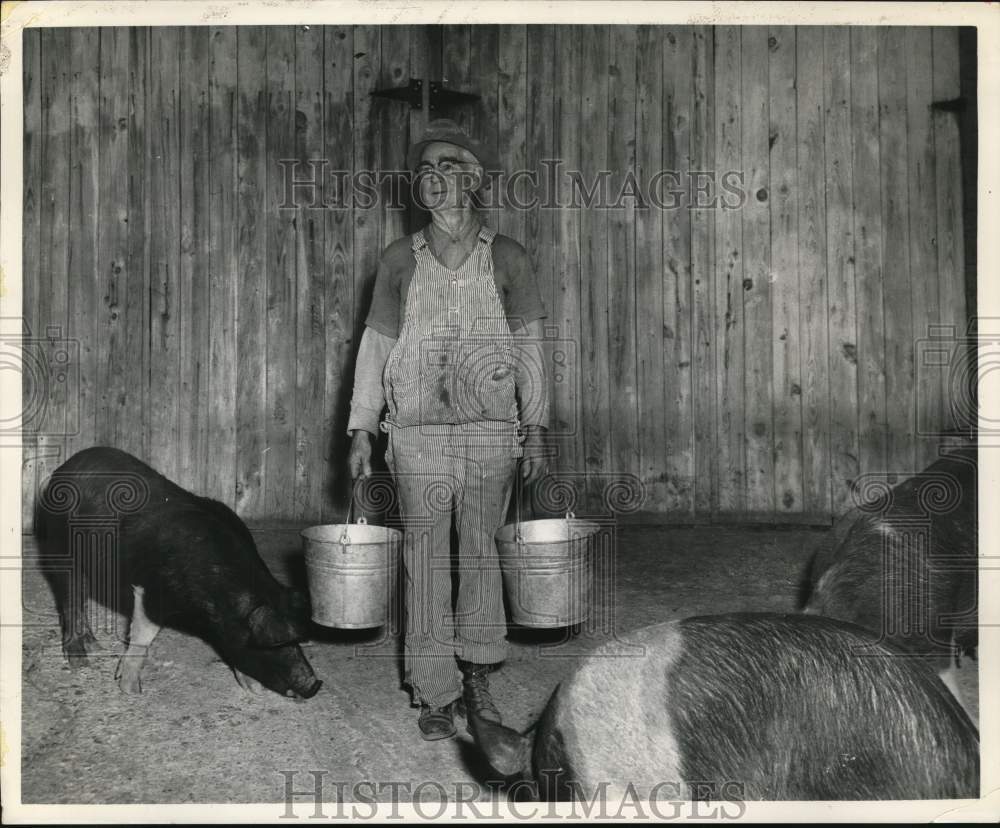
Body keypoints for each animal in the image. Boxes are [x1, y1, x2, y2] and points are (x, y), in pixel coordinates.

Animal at [35, 446, 322, 700]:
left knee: (80, 597)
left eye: (296, 640)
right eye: (273, 644)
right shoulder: (149, 591)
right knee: (70, 599)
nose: (314, 684)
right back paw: (80, 662)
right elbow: (143, 635)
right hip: (60, 548)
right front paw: (132, 690)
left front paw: (254, 689)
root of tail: (64, 467)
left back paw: (95, 645)